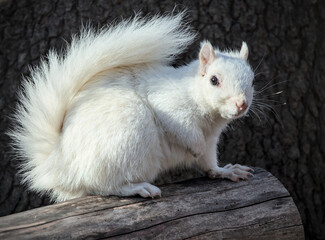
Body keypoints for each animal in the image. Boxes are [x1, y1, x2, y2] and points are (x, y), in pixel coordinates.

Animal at [9, 12, 253, 202]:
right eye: (214, 80)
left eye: (252, 80)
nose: (241, 104)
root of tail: (59, 164)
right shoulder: (169, 105)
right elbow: (182, 131)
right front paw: (195, 147)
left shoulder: (212, 139)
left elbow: (209, 163)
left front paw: (225, 171)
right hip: (127, 133)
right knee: (102, 186)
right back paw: (137, 188)